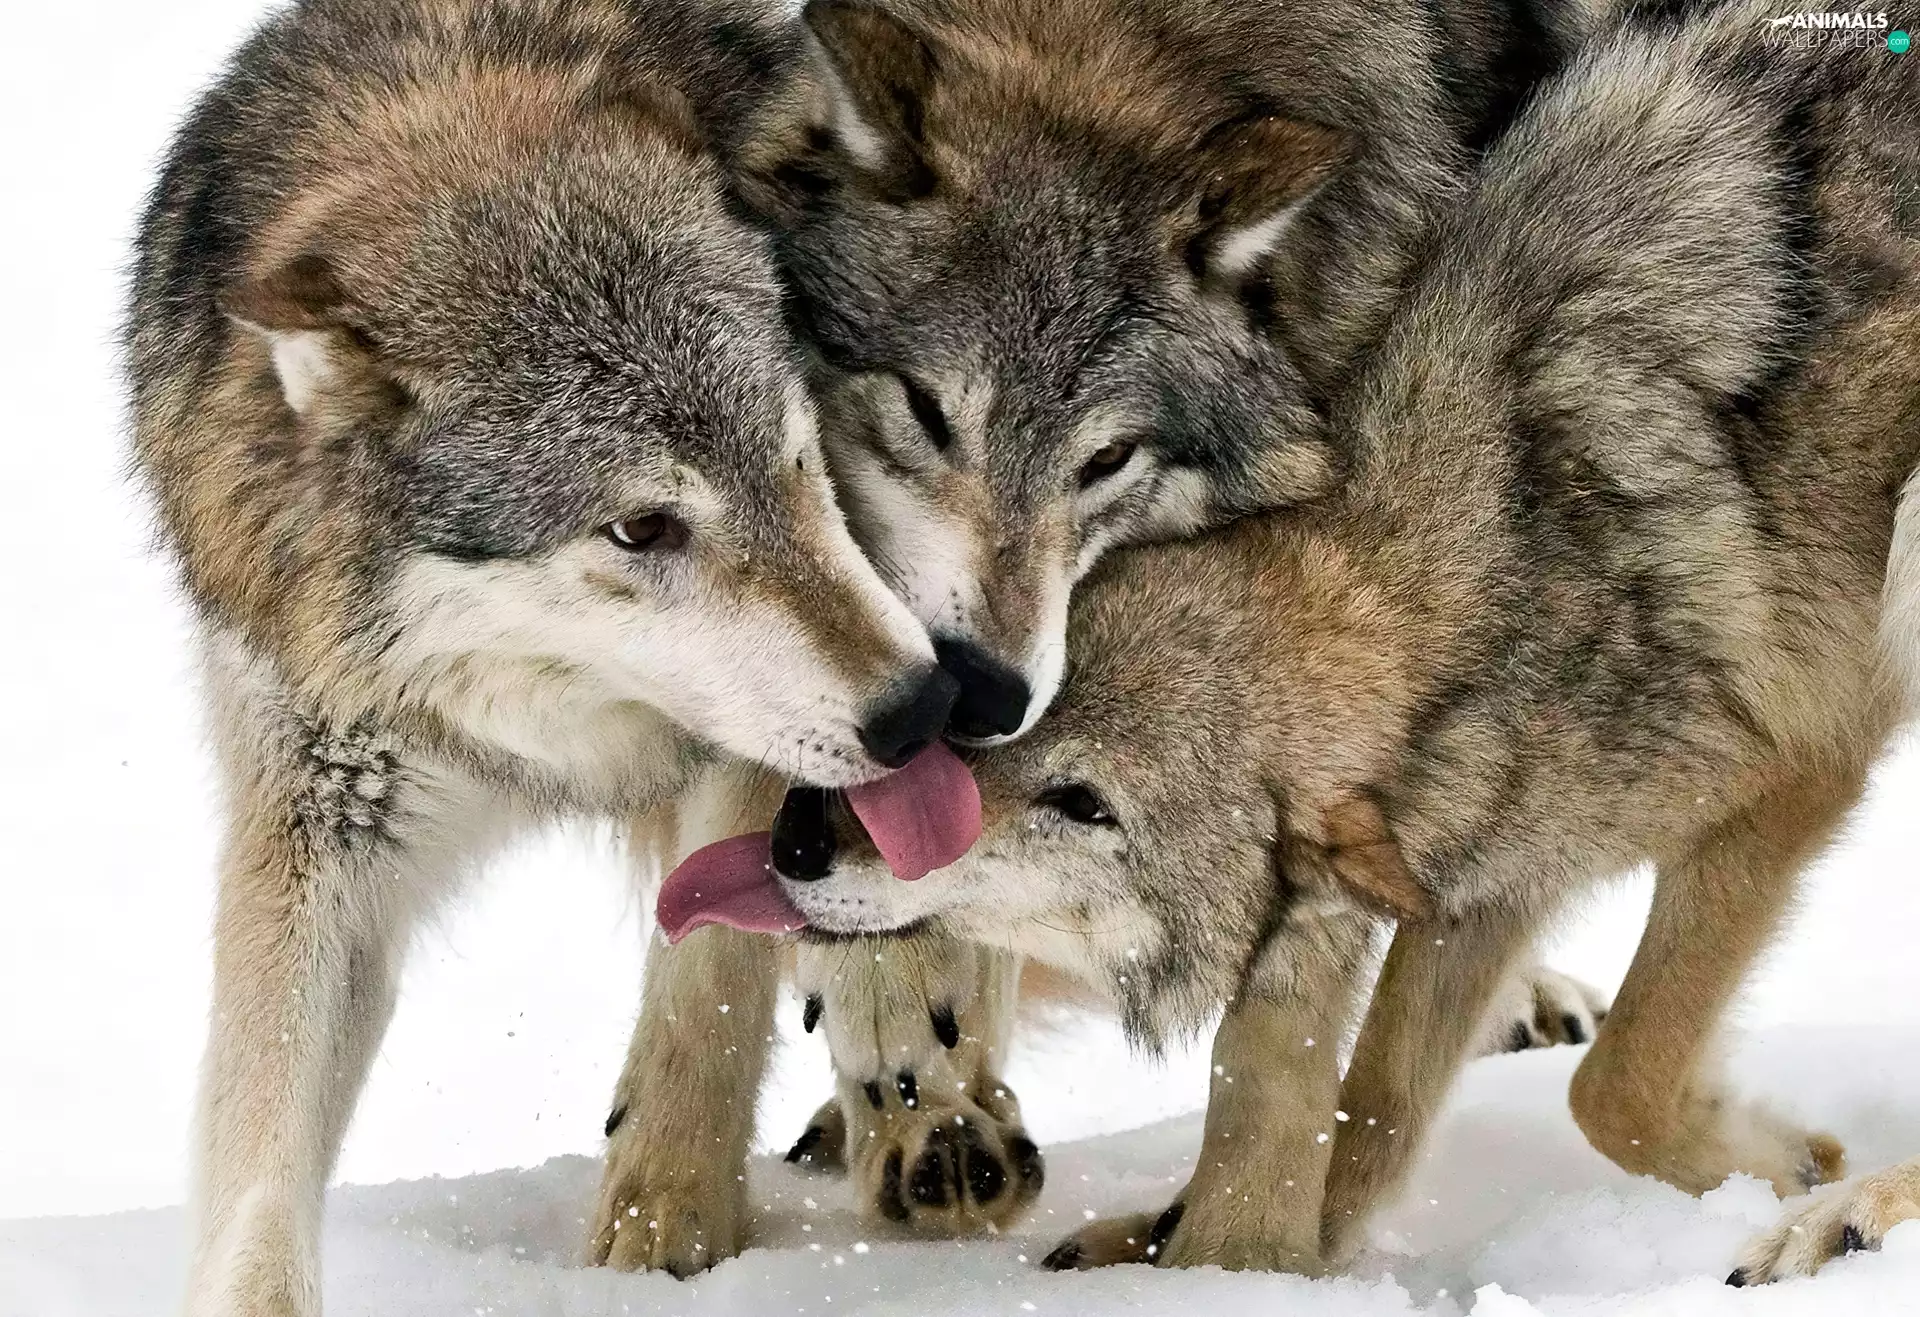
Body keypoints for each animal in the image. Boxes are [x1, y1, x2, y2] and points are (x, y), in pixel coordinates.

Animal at [127, 0, 965, 1310]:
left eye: (794, 455)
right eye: (642, 528)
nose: (919, 707)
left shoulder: (751, 756)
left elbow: (705, 992)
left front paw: (666, 1228)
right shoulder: (320, 815)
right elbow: (258, 1159)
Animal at [684, 0, 1920, 1271]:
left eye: (1086, 806)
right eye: (968, 746)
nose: (800, 843)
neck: (1496, 564)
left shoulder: (1791, 783)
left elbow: (1609, 1087)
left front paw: (1784, 1163)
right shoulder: (1480, 876)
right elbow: (1367, 1111)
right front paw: (1211, 1251)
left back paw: (1852, 1215)